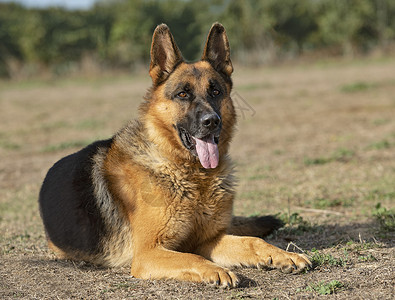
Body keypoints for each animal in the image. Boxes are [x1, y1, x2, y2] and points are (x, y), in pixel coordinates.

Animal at [40, 22, 312, 286]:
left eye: (216, 92)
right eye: (183, 94)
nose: (211, 121)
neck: (188, 173)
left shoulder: (207, 240)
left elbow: (252, 241)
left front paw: (284, 254)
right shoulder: (148, 254)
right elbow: (192, 257)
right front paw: (217, 271)